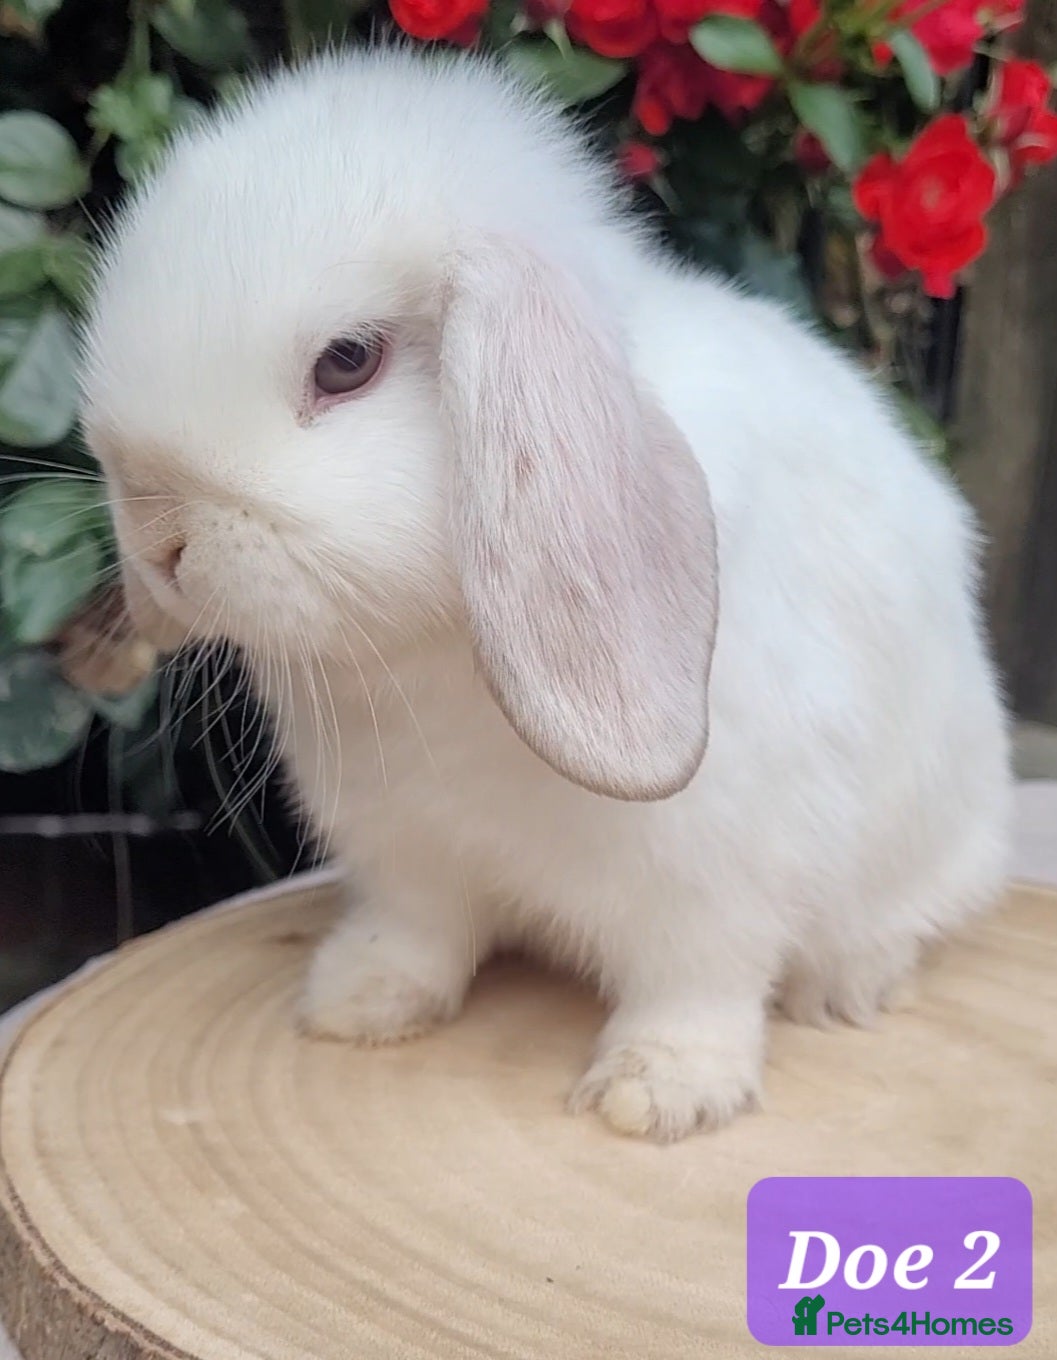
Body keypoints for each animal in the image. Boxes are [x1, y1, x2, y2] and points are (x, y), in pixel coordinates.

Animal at [80, 46, 1012, 1142]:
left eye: (348, 361)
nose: (158, 539)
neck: (439, 657)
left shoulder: (719, 872)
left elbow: (698, 984)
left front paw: (653, 1094)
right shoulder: (405, 847)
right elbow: (417, 933)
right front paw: (356, 1004)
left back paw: (849, 984)